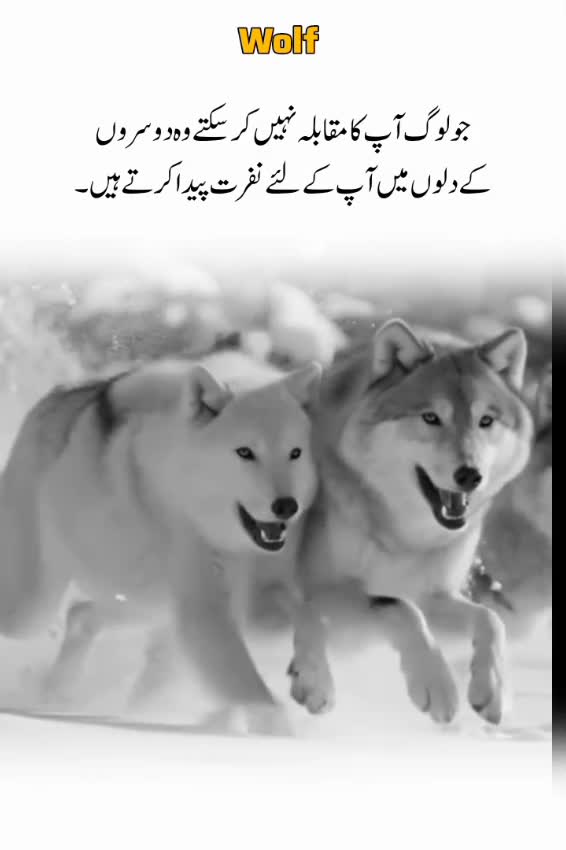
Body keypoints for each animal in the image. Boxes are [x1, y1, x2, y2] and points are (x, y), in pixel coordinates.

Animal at [0, 353, 320, 731]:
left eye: (295, 453)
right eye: (245, 452)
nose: (286, 506)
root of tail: (60, 394)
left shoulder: (264, 597)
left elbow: (310, 618)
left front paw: (316, 684)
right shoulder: (204, 612)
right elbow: (258, 697)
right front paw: (280, 732)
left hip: (145, 605)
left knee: (81, 615)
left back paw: (60, 693)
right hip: (30, 609)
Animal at [287, 319, 533, 725]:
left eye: (486, 421)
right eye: (431, 418)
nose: (470, 475)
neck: (406, 537)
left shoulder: (437, 594)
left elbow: (489, 620)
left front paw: (494, 689)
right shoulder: (330, 587)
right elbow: (400, 608)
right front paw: (437, 686)